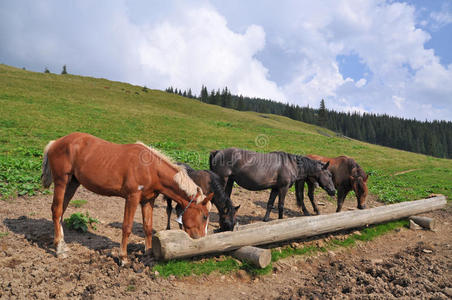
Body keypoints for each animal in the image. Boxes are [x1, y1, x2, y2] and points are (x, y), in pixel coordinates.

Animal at [41, 132, 213, 264]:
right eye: (204, 216)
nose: (202, 239)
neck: (151, 169)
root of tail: (55, 143)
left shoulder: (147, 201)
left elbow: (147, 227)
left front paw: (148, 252)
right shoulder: (132, 198)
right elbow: (127, 227)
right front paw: (123, 258)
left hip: (72, 183)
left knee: (61, 212)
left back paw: (63, 244)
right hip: (62, 181)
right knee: (56, 211)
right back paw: (59, 249)